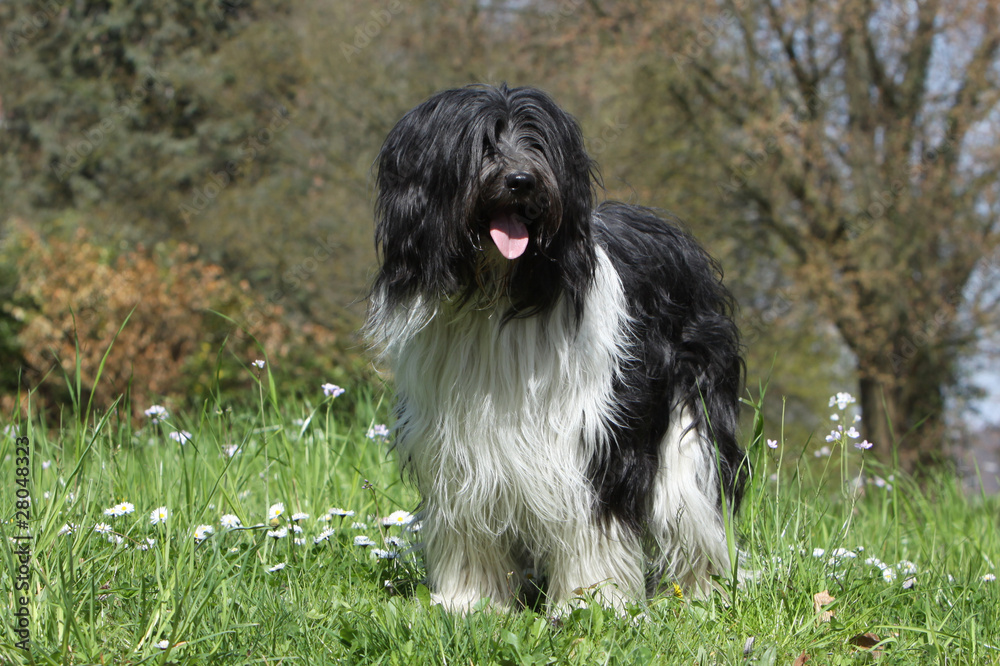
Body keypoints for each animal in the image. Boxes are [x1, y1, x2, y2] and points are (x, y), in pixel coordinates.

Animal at [366, 83, 744, 612]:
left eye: (537, 143)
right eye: (483, 144)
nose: (521, 181)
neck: (499, 294)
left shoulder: (591, 432)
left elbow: (592, 518)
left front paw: (593, 602)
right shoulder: (454, 443)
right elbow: (466, 519)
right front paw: (468, 600)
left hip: (692, 414)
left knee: (692, 498)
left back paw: (703, 590)